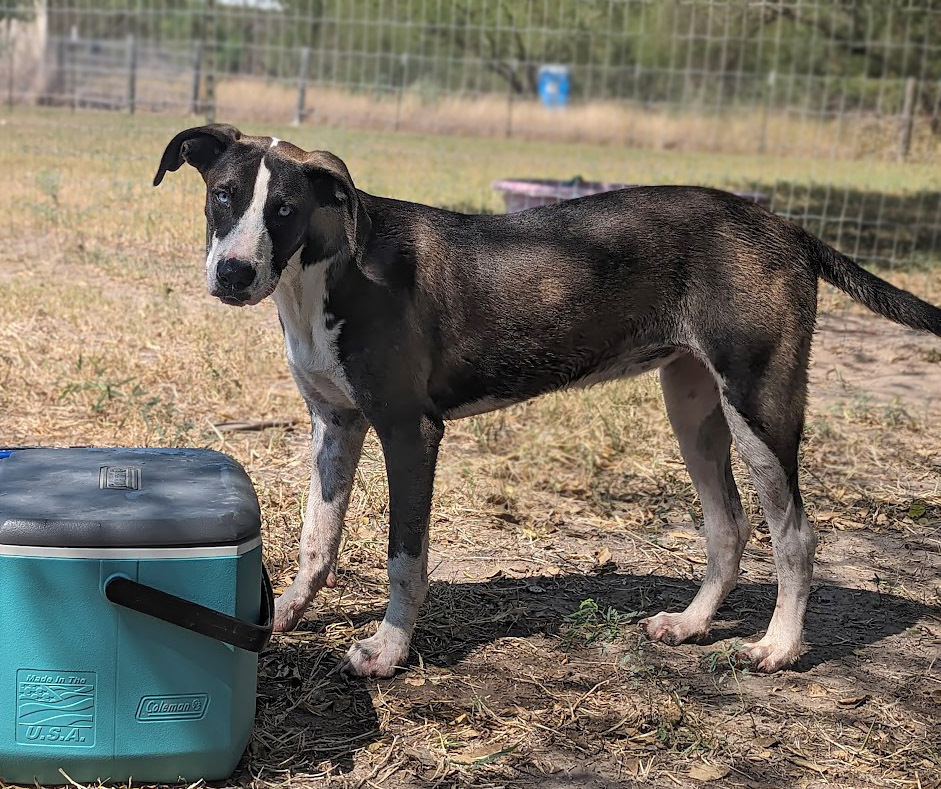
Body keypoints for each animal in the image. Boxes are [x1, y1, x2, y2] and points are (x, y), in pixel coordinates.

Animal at [154, 123, 940, 676]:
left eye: (285, 209)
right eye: (222, 195)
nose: (233, 273)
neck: (325, 273)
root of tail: (786, 227)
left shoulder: (411, 431)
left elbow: (405, 556)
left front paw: (388, 650)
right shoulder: (335, 425)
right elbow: (318, 537)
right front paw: (284, 613)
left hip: (758, 403)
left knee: (795, 533)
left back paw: (777, 646)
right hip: (693, 406)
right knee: (729, 526)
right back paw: (690, 624)